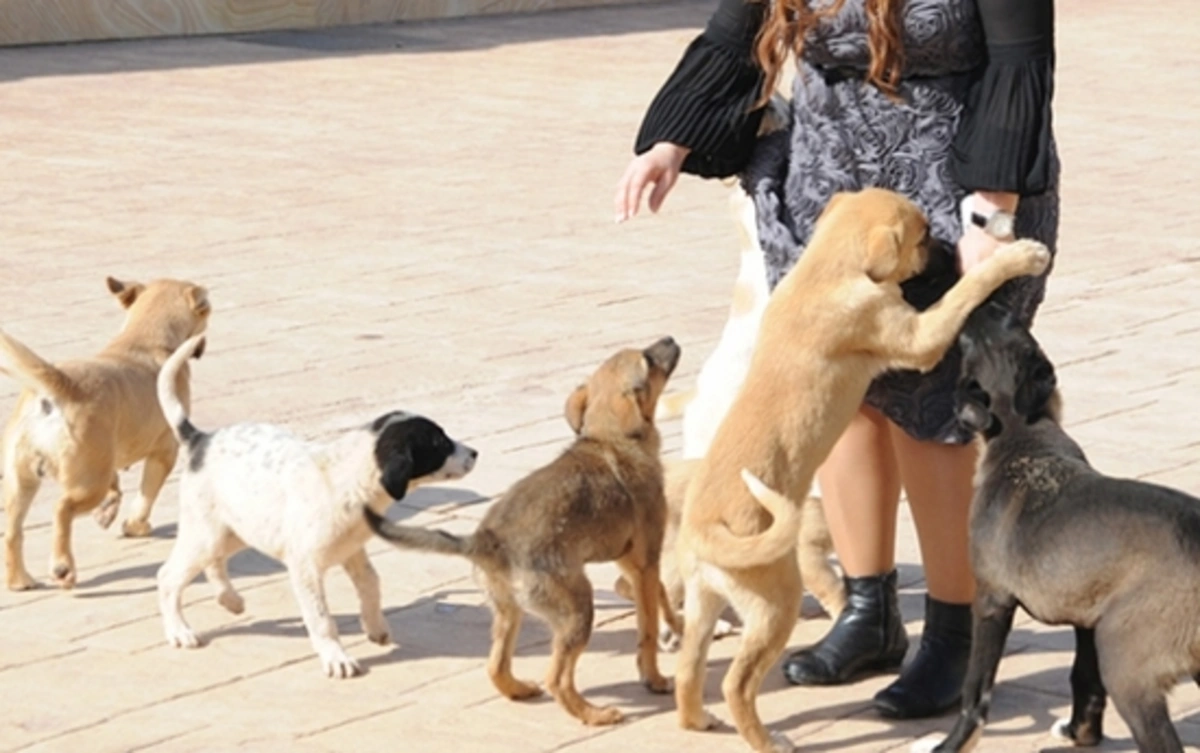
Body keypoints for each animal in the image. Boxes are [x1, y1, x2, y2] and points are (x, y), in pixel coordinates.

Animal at [1, 273, 211, 592]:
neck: (145, 338)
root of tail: (62, 387)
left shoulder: (106, 459)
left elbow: (117, 482)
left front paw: (110, 508)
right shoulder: (164, 453)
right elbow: (146, 494)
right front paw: (136, 525)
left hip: (22, 480)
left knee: (13, 530)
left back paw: (18, 579)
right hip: (87, 484)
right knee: (62, 509)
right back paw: (62, 567)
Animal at [154, 335, 477, 676]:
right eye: (439, 443)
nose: (475, 453)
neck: (350, 477)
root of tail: (200, 439)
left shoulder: (351, 551)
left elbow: (371, 584)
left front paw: (376, 627)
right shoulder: (305, 566)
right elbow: (322, 620)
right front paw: (337, 658)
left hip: (238, 528)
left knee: (213, 563)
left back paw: (230, 599)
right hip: (208, 532)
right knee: (168, 576)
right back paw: (179, 630)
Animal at [362, 338, 686, 724]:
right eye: (648, 359)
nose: (669, 339)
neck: (610, 438)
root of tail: (485, 541)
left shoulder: (632, 562)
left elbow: (662, 594)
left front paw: (677, 627)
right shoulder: (645, 559)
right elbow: (648, 628)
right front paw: (655, 678)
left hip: (509, 611)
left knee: (496, 667)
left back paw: (520, 690)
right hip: (578, 609)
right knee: (557, 678)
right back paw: (593, 714)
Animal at [676, 183, 1051, 753]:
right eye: (921, 236)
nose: (948, 246)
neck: (825, 268)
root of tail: (702, 531)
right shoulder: (916, 336)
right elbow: (964, 293)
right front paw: (1016, 257)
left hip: (703, 602)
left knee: (687, 668)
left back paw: (697, 720)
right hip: (774, 602)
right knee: (737, 684)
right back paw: (766, 740)